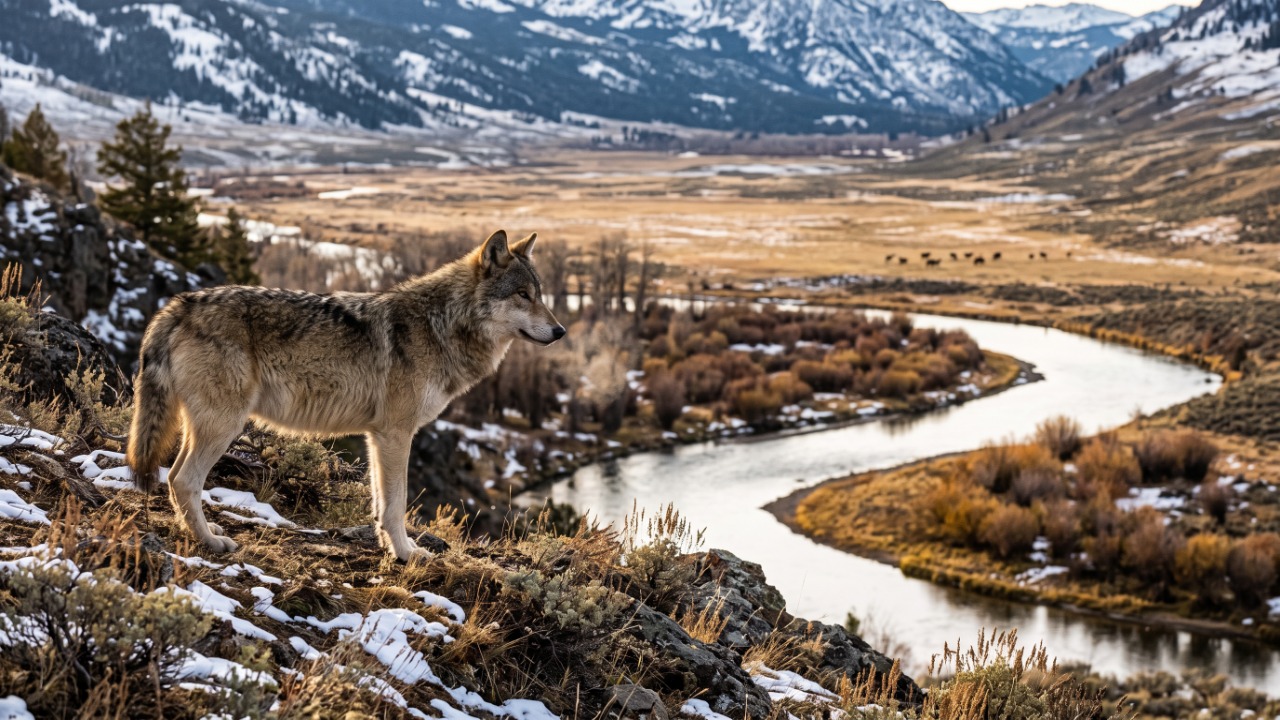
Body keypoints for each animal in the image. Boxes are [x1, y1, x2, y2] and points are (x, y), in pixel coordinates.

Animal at [127, 230, 565, 562]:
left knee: (174, 478)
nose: (561, 332)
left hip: (202, 425)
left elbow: (380, 503)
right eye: (523, 295)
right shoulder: (396, 434)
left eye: (540, 294)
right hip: (224, 425)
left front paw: (390, 548)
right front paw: (407, 554)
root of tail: (177, 305)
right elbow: (397, 504)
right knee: (184, 480)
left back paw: (199, 530)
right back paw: (211, 542)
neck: (441, 325)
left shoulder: (377, 436)